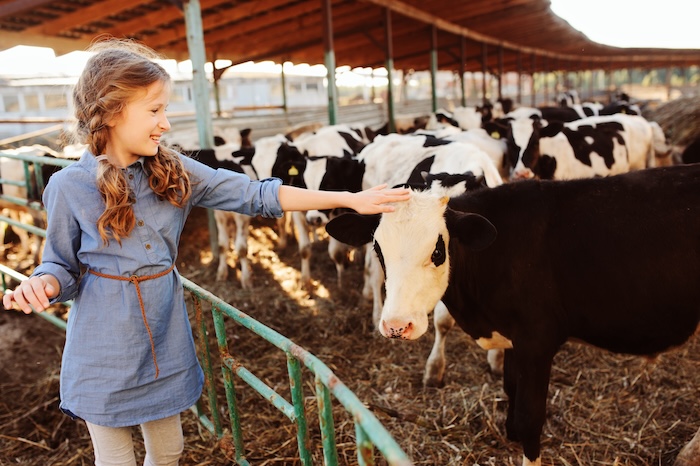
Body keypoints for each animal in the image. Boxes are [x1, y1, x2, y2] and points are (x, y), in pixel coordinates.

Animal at [326, 163, 700, 466]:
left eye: (437, 250)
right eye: (377, 248)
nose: (396, 325)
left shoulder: (537, 341)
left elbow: (530, 416)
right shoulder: (512, 339)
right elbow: (510, 387)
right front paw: (510, 432)